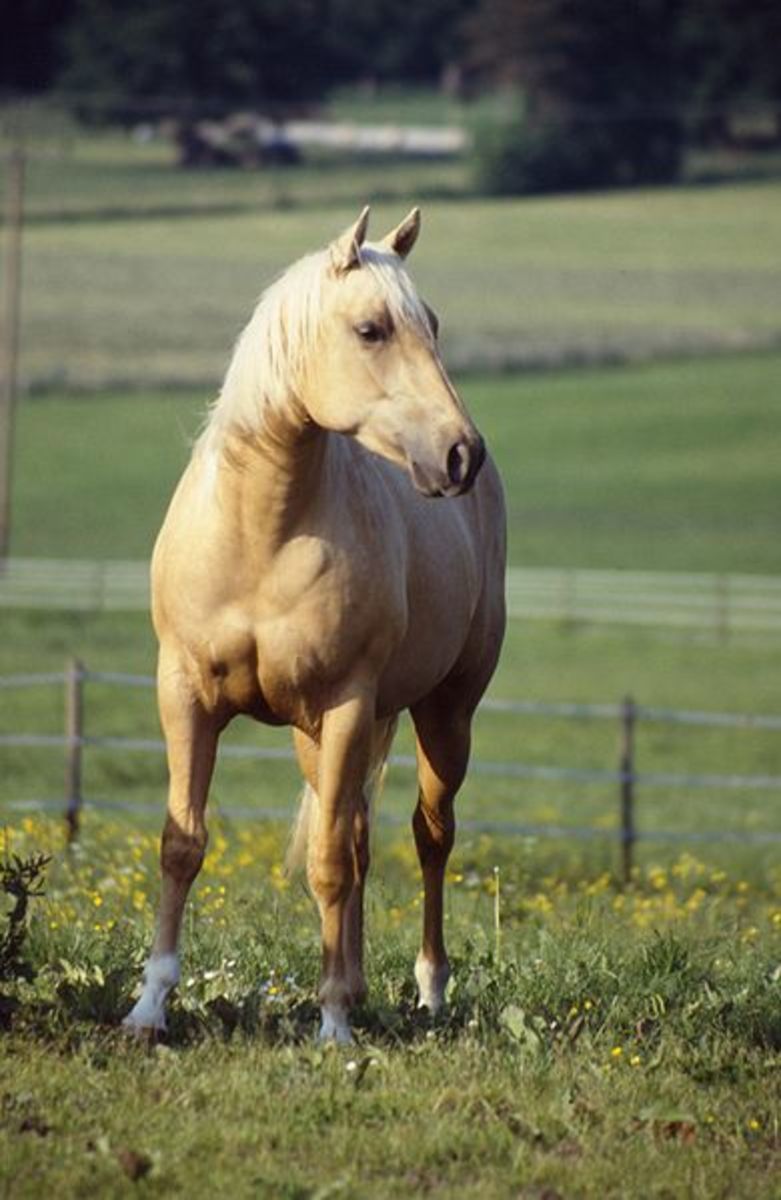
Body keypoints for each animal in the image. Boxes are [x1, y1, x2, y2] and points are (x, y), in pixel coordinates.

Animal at [123, 206, 506, 1043]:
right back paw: (359, 984)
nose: (459, 454)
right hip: (316, 734)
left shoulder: (347, 703)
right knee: (359, 835)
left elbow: (327, 861)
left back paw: (427, 991)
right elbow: (182, 844)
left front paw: (332, 1023)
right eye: (370, 329)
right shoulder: (184, 695)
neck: (259, 534)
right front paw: (149, 1005)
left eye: (431, 324)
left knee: (429, 835)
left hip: (444, 712)